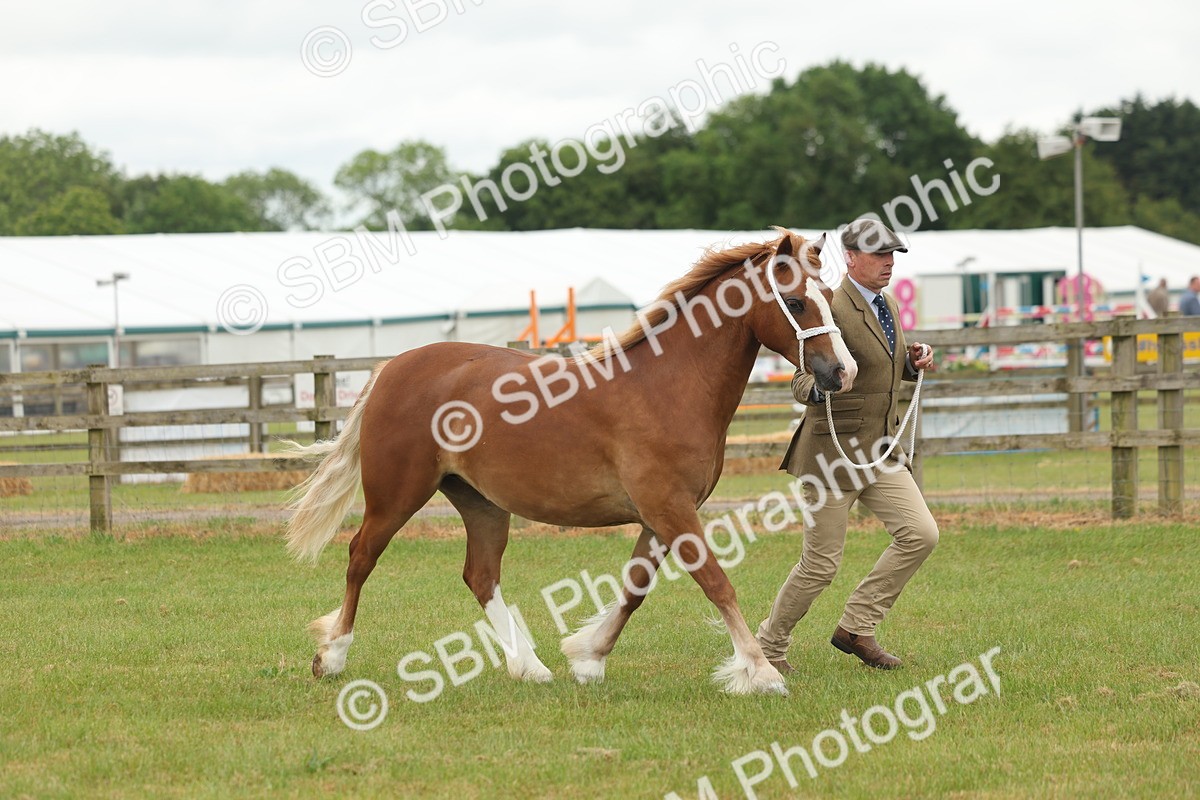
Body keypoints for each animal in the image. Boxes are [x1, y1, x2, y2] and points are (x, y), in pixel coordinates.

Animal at [285, 229, 857, 695]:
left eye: (828, 296)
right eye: (796, 301)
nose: (843, 372)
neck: (666, 387)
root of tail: (391, 369)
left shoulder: (662, 514)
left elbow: (635, 588)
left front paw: (588, 659)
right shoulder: (670, 508)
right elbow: (716, 581)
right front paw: (760, 673)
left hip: (481, 503)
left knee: (480, 575)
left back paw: (530, 667)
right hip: (397, 494)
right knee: (361, 556)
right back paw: (331, 657)